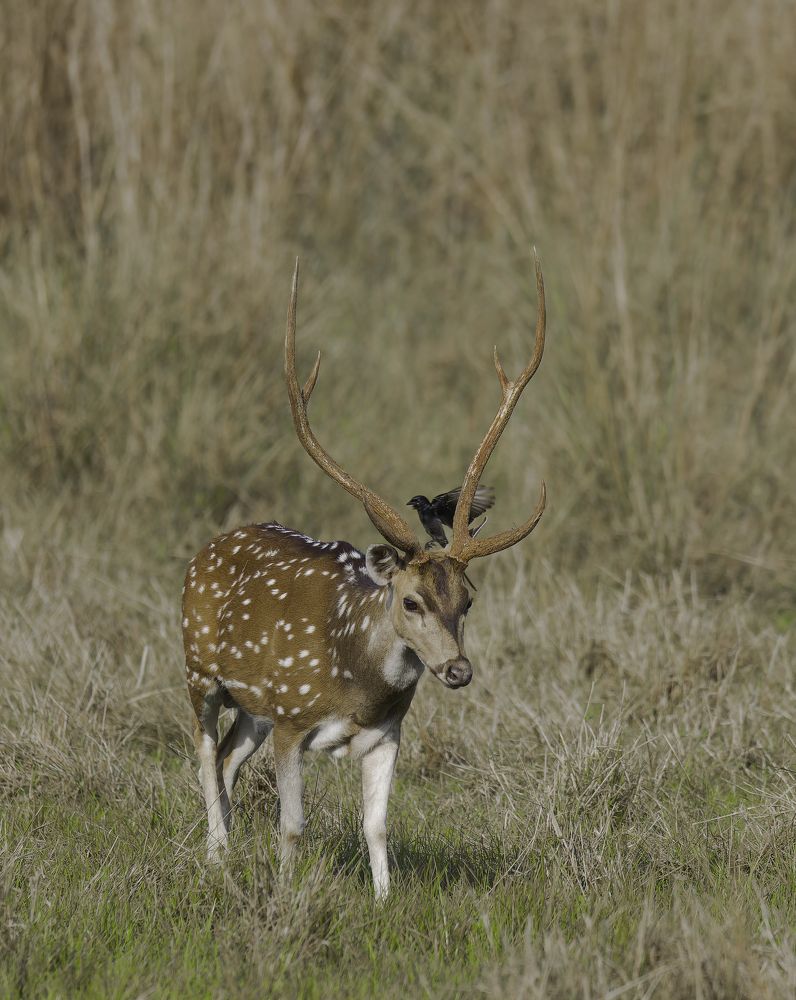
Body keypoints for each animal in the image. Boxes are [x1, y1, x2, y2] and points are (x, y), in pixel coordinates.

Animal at [182, 252, 547, 898]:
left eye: (468, 600)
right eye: (410, 601)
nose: (458, 670)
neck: (356, 686)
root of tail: (210, 546)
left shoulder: (386, 733)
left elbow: (376, 825)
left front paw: (383, 901)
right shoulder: (293, 721)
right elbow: (294, 826)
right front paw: (287, 895)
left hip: (253, 707)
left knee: (225, 758)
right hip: (198, 669)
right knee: (202, 756)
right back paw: (217, 857)